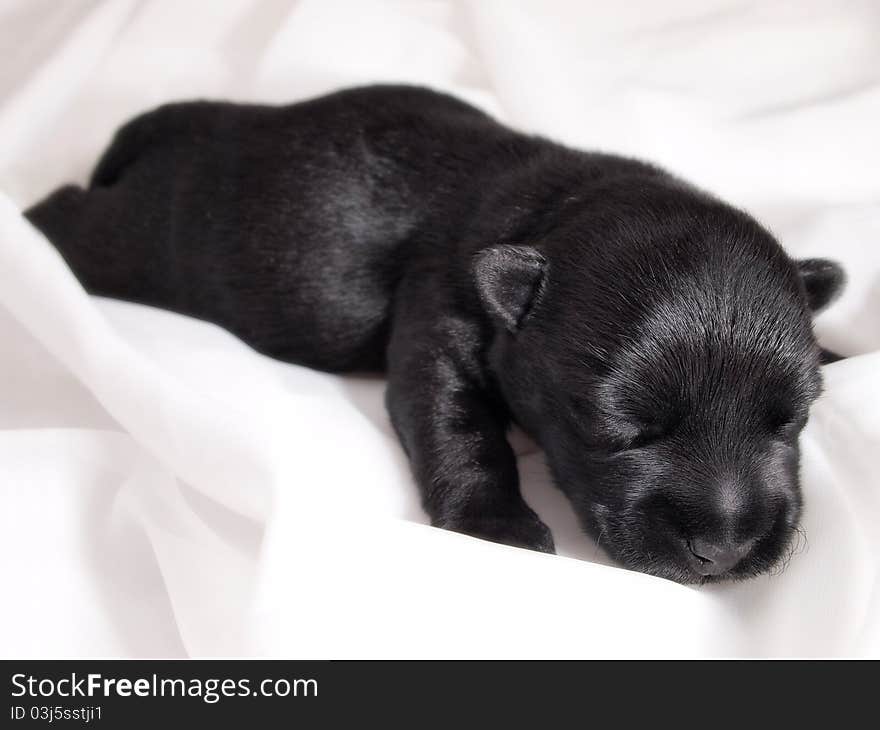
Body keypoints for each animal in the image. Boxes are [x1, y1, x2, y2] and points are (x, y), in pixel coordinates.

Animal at [27, 85, 844, 584]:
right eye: (624, 428)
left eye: (792, 421)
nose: (725, 549)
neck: (558, 208)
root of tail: (198, 116)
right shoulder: (441, 314)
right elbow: (458, 425)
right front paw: (498, 525)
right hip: (151, 240)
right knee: (79, 215)